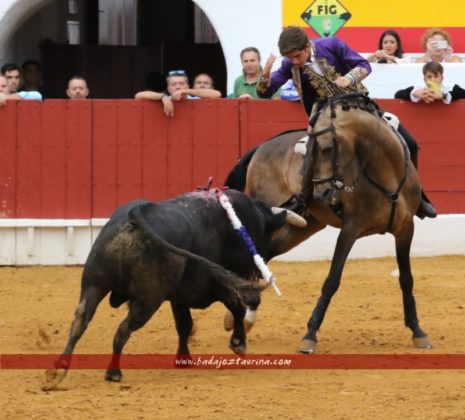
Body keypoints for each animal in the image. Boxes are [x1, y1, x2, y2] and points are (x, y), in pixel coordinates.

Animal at [43, 187, 304, 388]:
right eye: (267, 234)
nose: (263, 261)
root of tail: (134, 217)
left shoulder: (179, 295)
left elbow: (184, 324)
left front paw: (183, 358)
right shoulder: (226, 283)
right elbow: (239, 308)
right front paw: (238, 343)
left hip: (94, 284)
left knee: (80, 321)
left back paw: (58, 370)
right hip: (148, 300)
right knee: (122, 329)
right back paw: (113, 372)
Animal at [227, 93, 432, 352]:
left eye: (326, 149)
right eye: (309, 152)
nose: (321, 192)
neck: (386, 174)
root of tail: (261, 147)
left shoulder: (405, 228)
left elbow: (406, 279)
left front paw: (418, 331)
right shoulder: (350, 229)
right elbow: (332, 280)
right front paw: (310, 335)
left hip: (304, 225)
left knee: (264, 256)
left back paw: (243, 318)